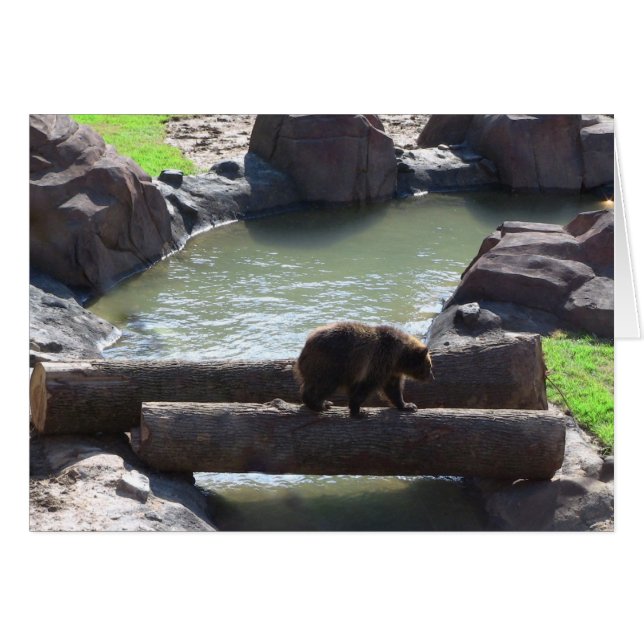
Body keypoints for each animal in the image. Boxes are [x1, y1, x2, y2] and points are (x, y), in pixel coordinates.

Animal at [294, 321, 434, 418]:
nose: (432, 377)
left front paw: (407, 405)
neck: (399, 357)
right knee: (324, 385)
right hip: (330, 364)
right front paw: (359, 411)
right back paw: (319, 404)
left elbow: (393, 389)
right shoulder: (380, 360)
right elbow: (367, 385)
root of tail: (306, 346)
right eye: (429, 365)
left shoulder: (390, 370)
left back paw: (323, 402)